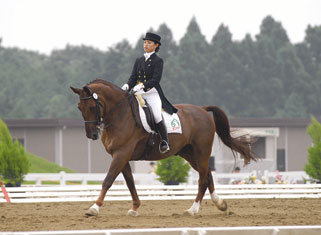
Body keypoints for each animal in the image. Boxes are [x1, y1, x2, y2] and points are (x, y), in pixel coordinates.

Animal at [70, 79, 258, 217]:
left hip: (202, 151)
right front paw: (135, 208)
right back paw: (220, 204)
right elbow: (130, 182)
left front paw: (94, 208)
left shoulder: (122, 154)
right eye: (79, 108)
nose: (92, 135)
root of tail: (203, 110)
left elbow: (108, 180)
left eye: (92, 107)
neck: (120, 114)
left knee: (203, 179)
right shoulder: (120, 156)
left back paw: (193, 209)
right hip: (189, 153)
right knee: (208, 176)